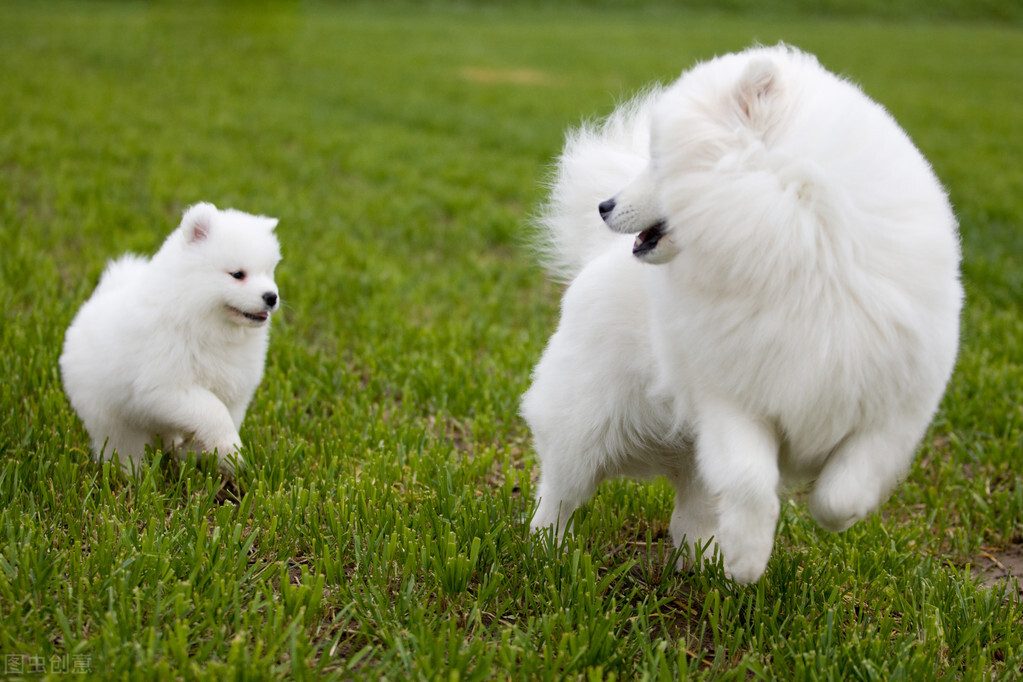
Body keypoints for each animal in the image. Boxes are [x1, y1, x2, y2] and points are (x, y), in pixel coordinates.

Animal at [523, 45, 961, 584]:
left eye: (658, 161)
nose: (604, 204)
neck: (800, 246)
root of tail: (596, 259)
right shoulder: (731, 399)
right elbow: (751, 482)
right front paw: (750, 559)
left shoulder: (895, 406)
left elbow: (847, 487)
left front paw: (822, 518)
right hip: (587, 426)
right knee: (560, 493)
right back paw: (547, 551)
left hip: (685, 450)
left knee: (691, 507)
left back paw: (704, 560)